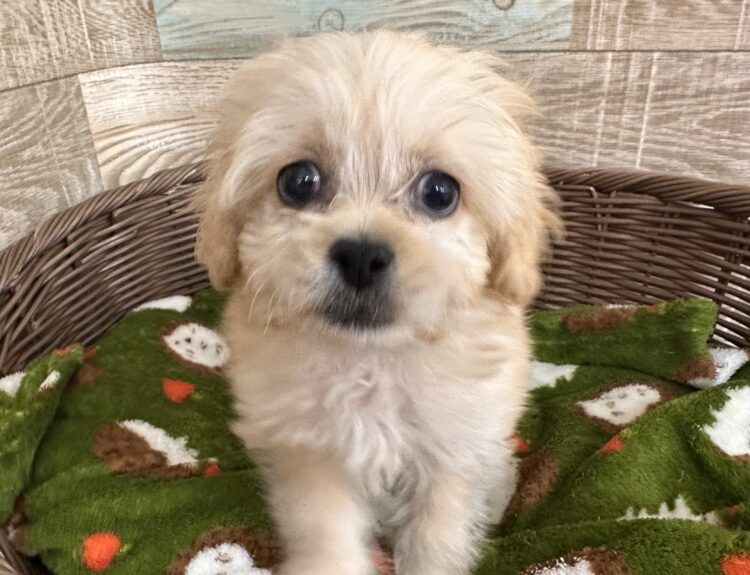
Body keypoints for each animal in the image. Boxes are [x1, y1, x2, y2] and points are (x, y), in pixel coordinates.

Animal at [194, 30, 559, 575]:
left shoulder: (452, 449)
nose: (362, 255)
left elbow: (437, 536)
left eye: (439, 192)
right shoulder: (309, 450)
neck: (372, 361)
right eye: (298, 181)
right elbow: (326, 527)